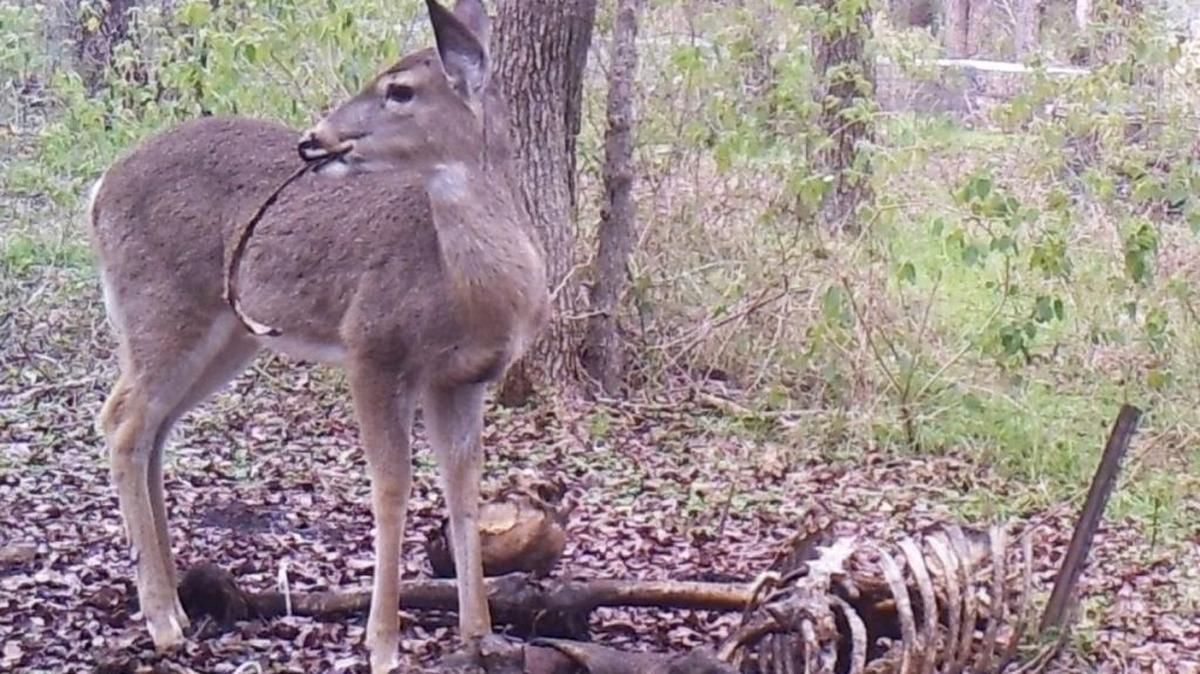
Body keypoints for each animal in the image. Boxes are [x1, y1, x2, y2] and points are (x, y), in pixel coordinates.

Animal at [86, 1, 548, 672]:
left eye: (400, 90)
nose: (316, 138)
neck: (471, 290)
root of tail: (97, 190)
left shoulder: (463, 379)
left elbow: (464, 491)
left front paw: (479, 635)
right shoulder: (373, 347)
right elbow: (392, 489)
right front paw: (382, 645)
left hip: (229, 334)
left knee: (152, 428)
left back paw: (177, 600)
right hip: (160, 305)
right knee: (122, 422)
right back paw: (162, 620)